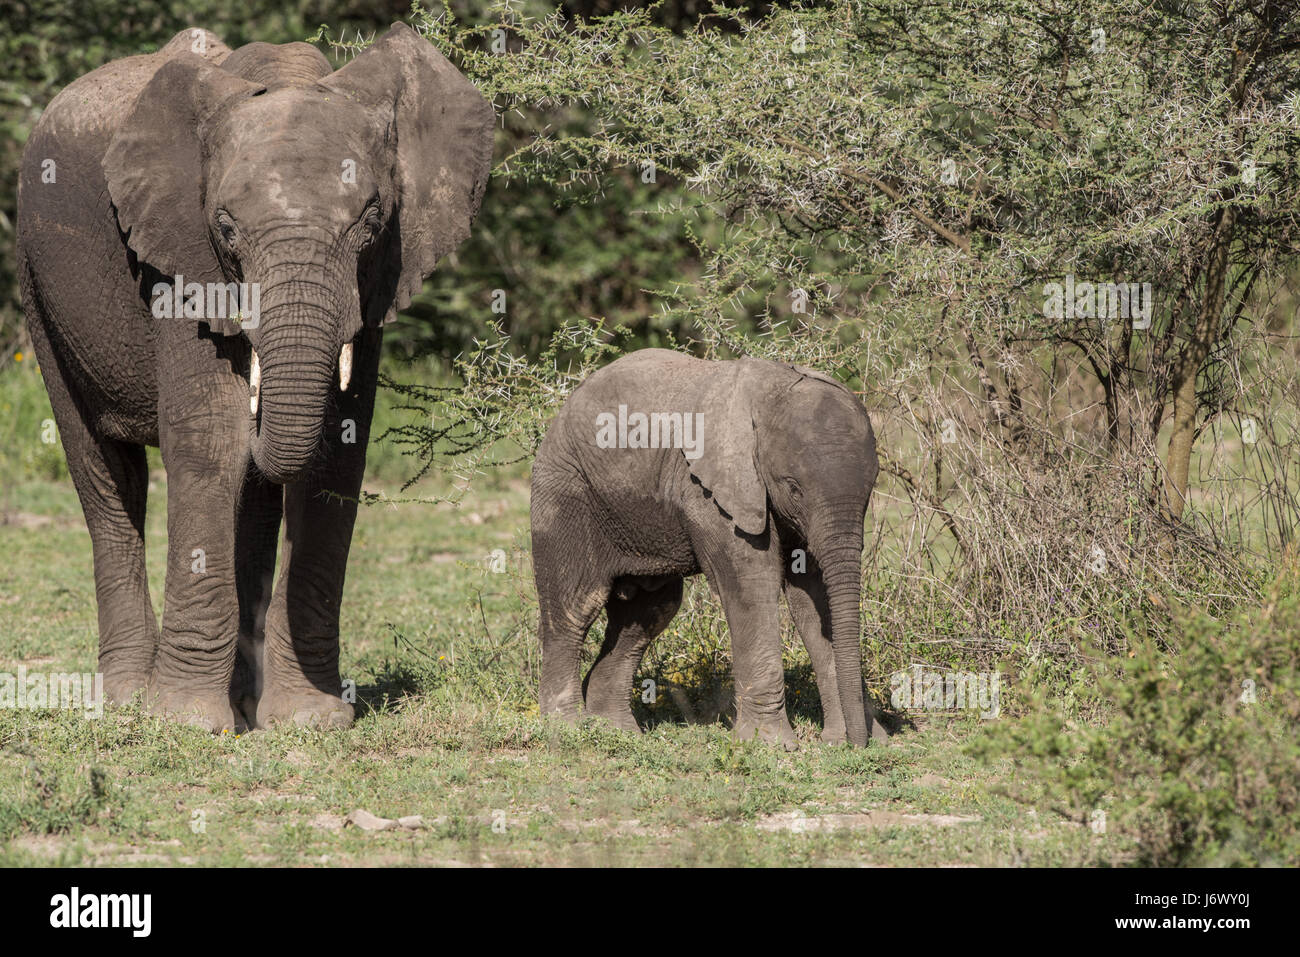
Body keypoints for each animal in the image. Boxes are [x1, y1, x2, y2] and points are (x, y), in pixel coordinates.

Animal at [17, 24, 493, 733]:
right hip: (36, 279)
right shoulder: (177, 256)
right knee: (103, 470)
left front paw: (309, 721)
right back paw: (128, 700)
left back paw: (243, 703)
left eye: (372, 218)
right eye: (224, 226)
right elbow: (211, 439)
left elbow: (338, 448)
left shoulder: (378, 279)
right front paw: (185, 722)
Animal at [533, 348, 889, 748]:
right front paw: (769, 744)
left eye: (872, 485)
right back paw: (565, 728)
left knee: (648, 613)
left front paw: (848, 738)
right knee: (576, 604)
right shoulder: (706, 491)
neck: (772, 393)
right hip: (565, 489)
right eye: (793, 487)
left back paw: (616, 731)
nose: (859, 744)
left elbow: (812, 597)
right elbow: (753, 582)